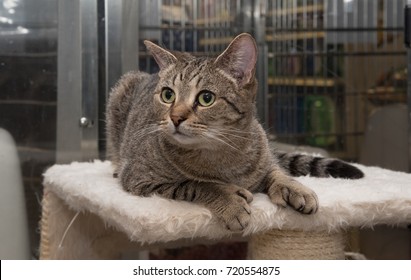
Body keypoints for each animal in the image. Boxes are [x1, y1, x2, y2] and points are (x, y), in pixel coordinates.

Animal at [106, 33, 364, 232]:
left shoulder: (264, 157)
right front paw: (229, 200)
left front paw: (294, 186)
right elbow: (195, 183)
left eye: (206, 98)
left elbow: (276, 170)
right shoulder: (140, 178)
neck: (222, 154)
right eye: (168, 95)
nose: (175, 117)